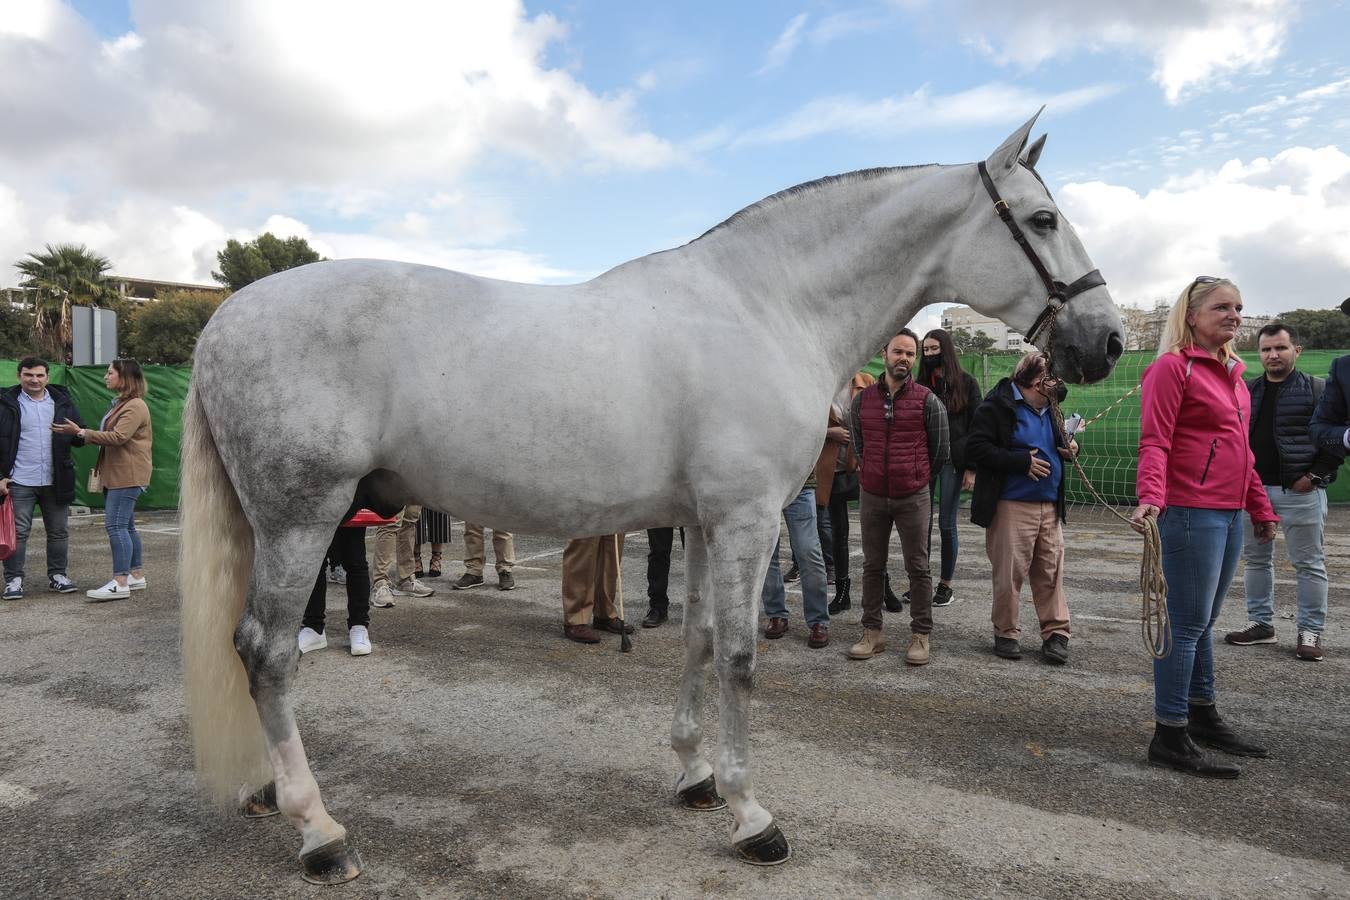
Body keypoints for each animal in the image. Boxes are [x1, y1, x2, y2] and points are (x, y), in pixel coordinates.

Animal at [182, 110, 1128, 879]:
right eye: (1043, 220)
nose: (1109, 342)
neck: (765, 306)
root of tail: (223, 321)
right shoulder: (748, 520)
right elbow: (741, 657)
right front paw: (753, 816)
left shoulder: (709, 524)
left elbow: (701, 640)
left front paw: (696, 775)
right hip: (303, 518)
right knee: (267, 651)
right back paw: (320, 831)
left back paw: (269, 791)